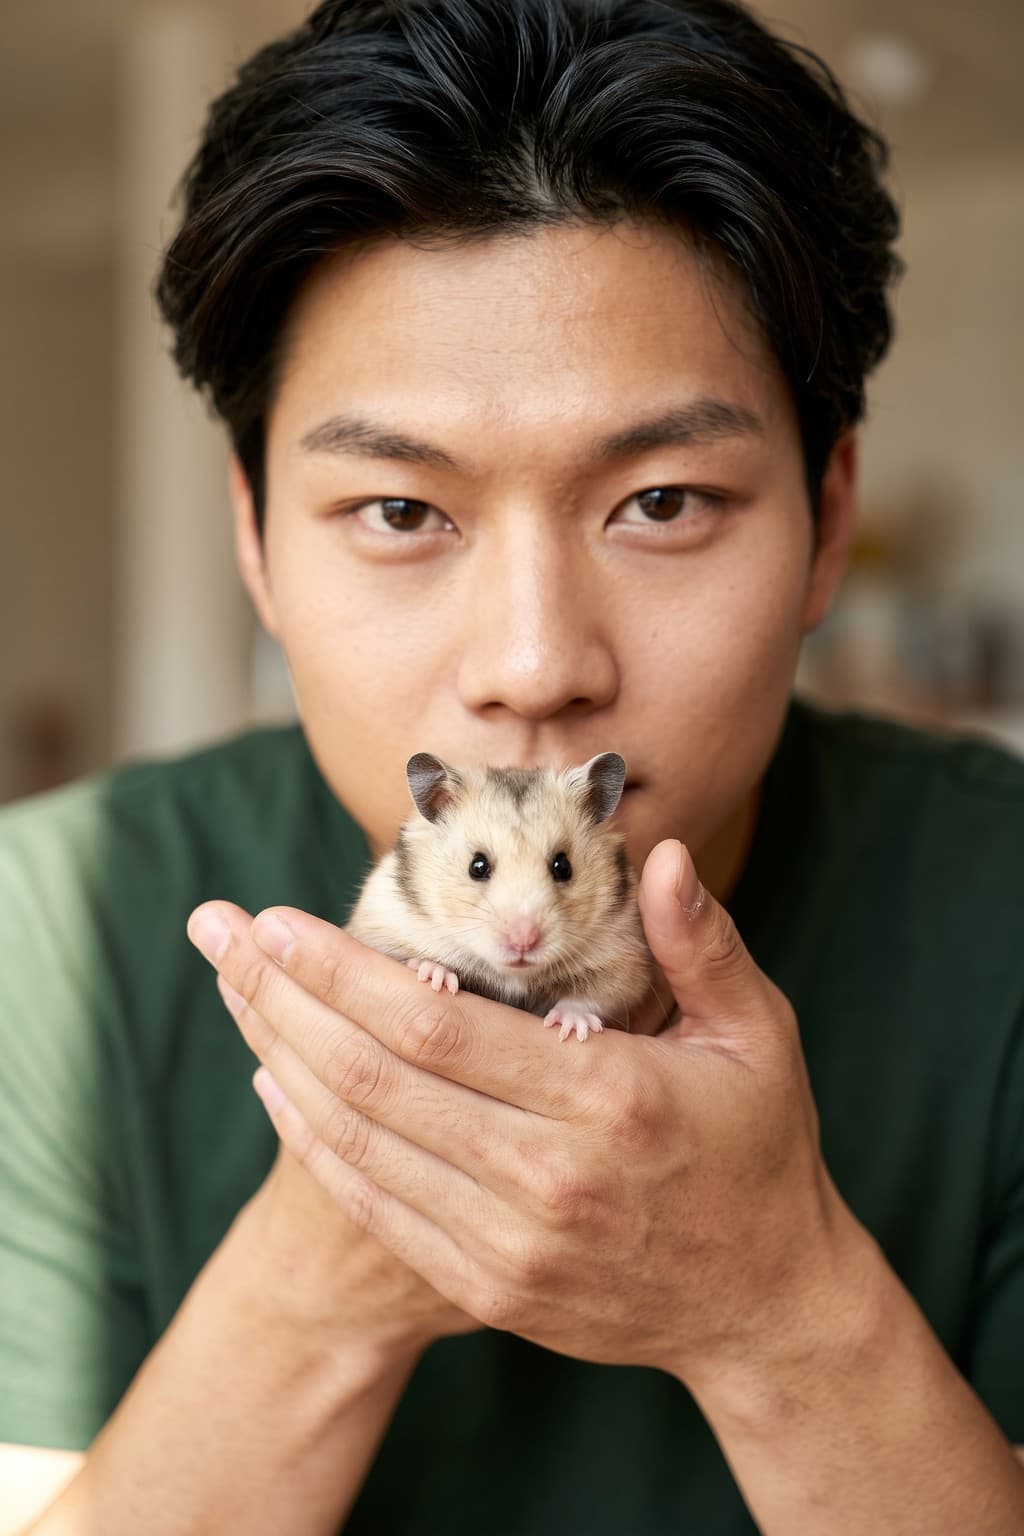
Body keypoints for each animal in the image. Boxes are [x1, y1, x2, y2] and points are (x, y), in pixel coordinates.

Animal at [344, 750, 652, 1042]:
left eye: (563, 867)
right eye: (477, 866)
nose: (524, 941)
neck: (514, 976)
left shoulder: (623, 961)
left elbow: (594, 998)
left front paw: (573, 1027)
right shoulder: (380, 927)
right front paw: (434, 975)